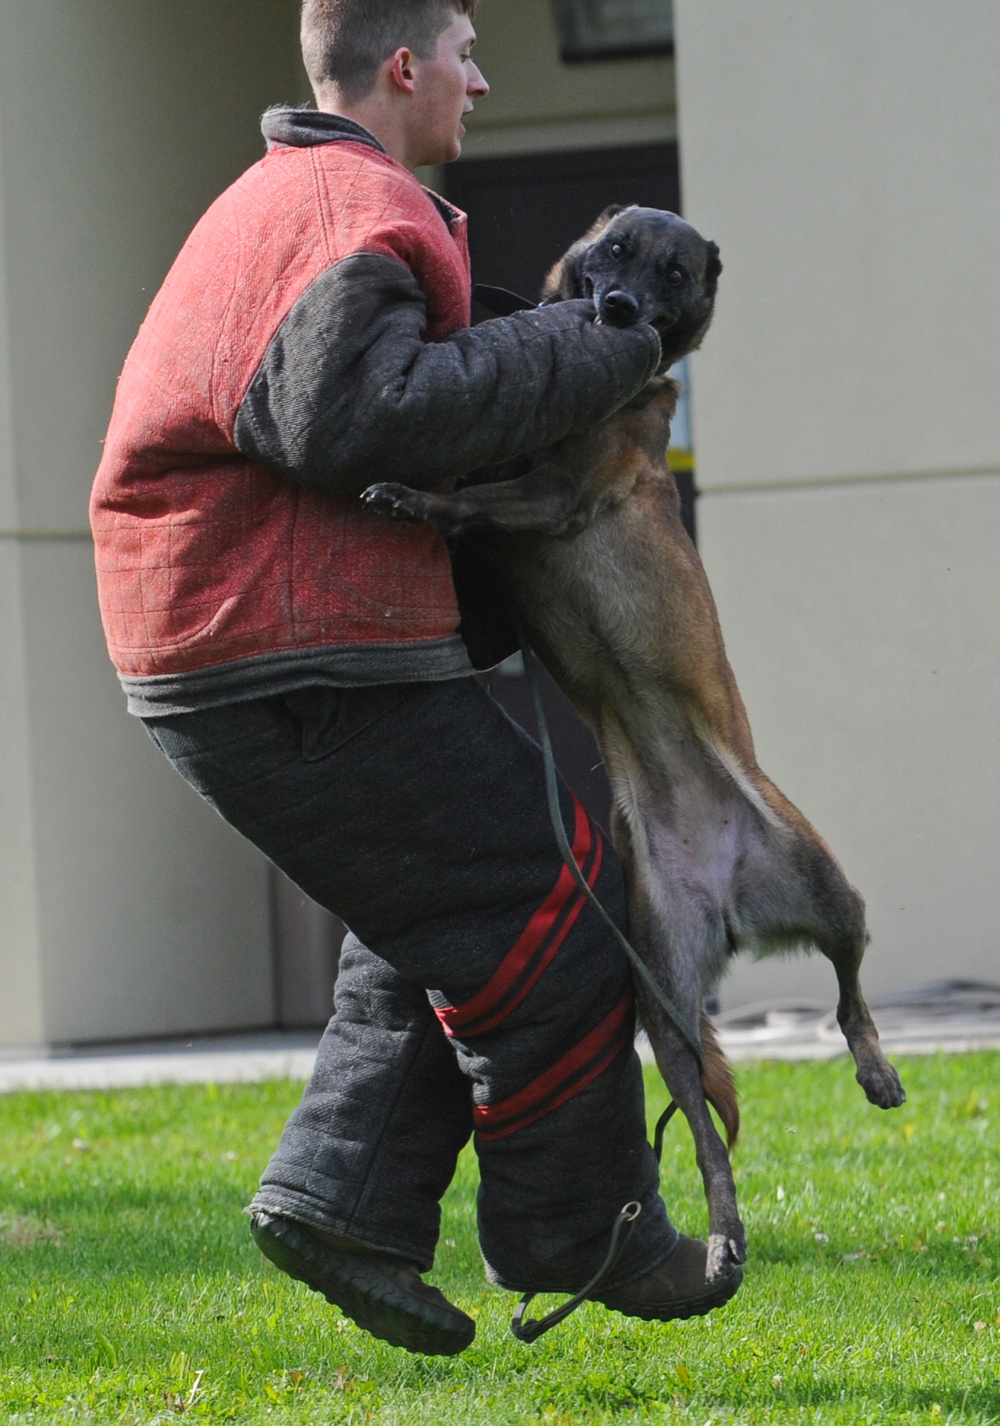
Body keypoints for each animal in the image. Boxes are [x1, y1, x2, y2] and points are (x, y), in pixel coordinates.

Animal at [360, 208, 907, 1283]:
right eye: (614, 253)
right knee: (704, 1133)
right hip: (662, 997)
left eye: (676, 273)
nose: (615, 310)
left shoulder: (560, 491)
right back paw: (723, 1239)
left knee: (851, 988)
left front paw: (416, 499)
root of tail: (732, 897)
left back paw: (875, 1066)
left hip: (824, 883)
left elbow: (473, 499)